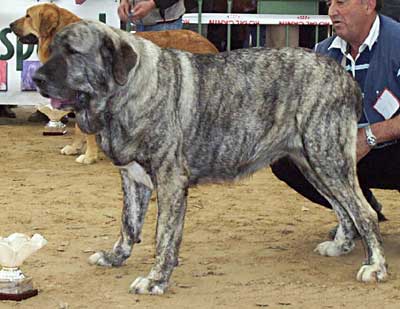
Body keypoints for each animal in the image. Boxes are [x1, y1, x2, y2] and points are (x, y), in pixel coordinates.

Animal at [10, 3, 219, 164]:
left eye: (28, 16)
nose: (11, 24)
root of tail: (209, 43)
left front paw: (89, 156)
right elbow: (79, 128)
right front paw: (75, 147)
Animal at [32, 20, 390, 292]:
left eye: (72, 52)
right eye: (54, 48)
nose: (36, 78)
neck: (127, 90)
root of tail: (345, 76)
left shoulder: (170, 180)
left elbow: (163, 236)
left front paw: (156, 279)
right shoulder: (133, 178)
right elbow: (128, 225)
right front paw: (115, 257)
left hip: (327, 157)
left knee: (363, 212)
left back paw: (375, 266)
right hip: (311, 164)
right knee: (344, 209)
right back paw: (341, 245)